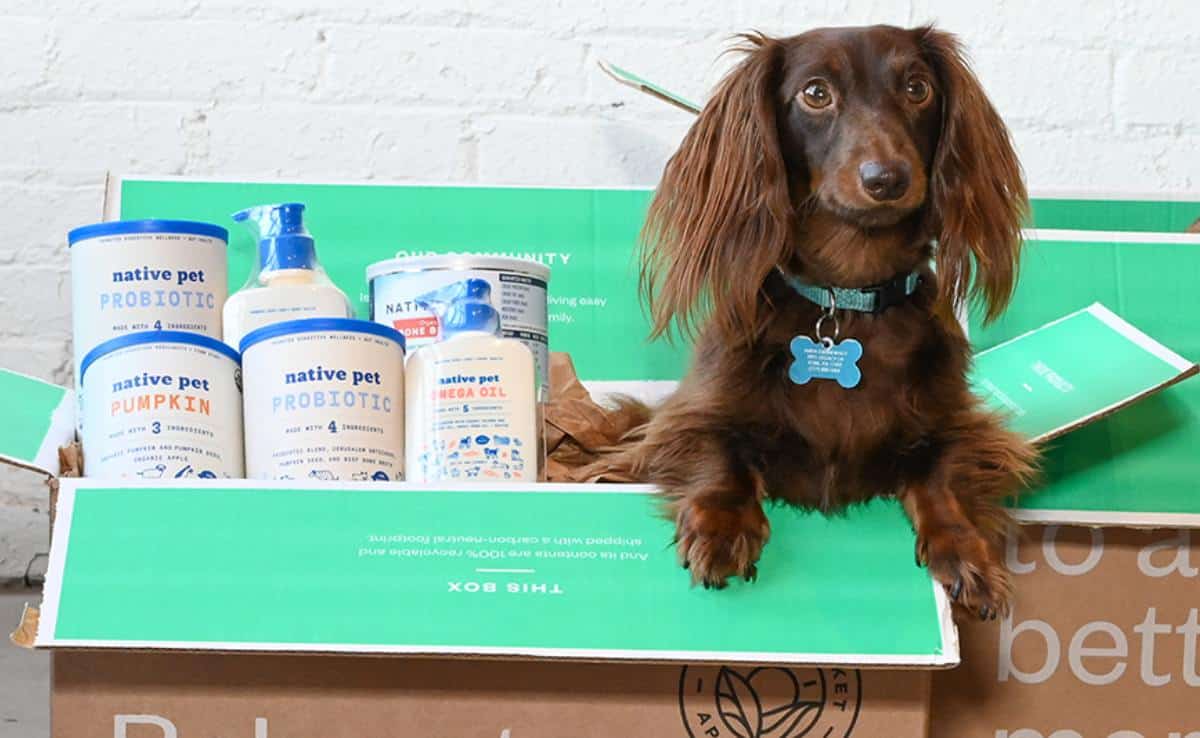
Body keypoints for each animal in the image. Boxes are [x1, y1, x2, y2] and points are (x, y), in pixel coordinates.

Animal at [604, 25, 1036, 619]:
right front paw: (722, 529)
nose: (887, 179)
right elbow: (720, 456)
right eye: (815, 93)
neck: (846, 298)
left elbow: (941, 476)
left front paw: (967, 551)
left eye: (918, 87)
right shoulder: (685, 418)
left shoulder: (958, 425)